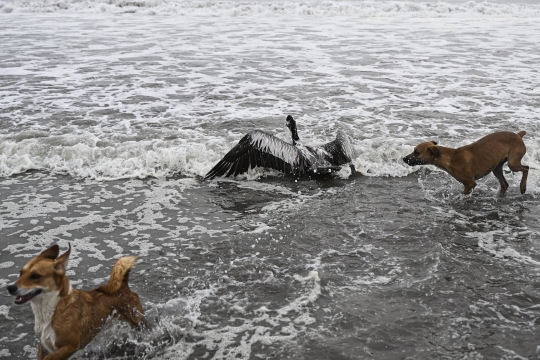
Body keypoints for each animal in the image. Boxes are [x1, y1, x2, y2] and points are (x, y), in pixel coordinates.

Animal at [6, 245, 146, 360]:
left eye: (35, 276)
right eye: (20, 273)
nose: (10, 287)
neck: (54, 309)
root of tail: (123, 286)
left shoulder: (70, 346)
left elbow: (50, 358)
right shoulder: (44, 345)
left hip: (137, 320)